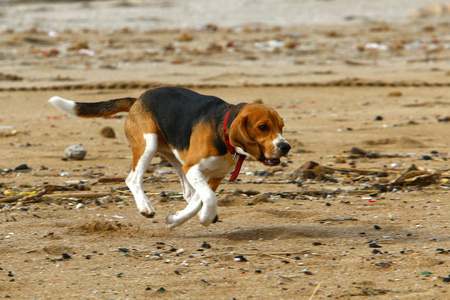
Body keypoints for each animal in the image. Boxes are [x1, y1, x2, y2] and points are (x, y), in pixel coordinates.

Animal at [48, 86, 288, 227]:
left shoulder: (212, 175)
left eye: (282, 127)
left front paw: (177, 219)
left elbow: (200, 200)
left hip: (175, 158)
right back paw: (145, 206)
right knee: (132, 179)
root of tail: (138, 99)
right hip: (149, 144)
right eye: (263, 127)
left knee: (188, 193)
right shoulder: (193, 168)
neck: (222, 128)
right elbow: (209, 198)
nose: (286, 146)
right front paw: (205, 217)